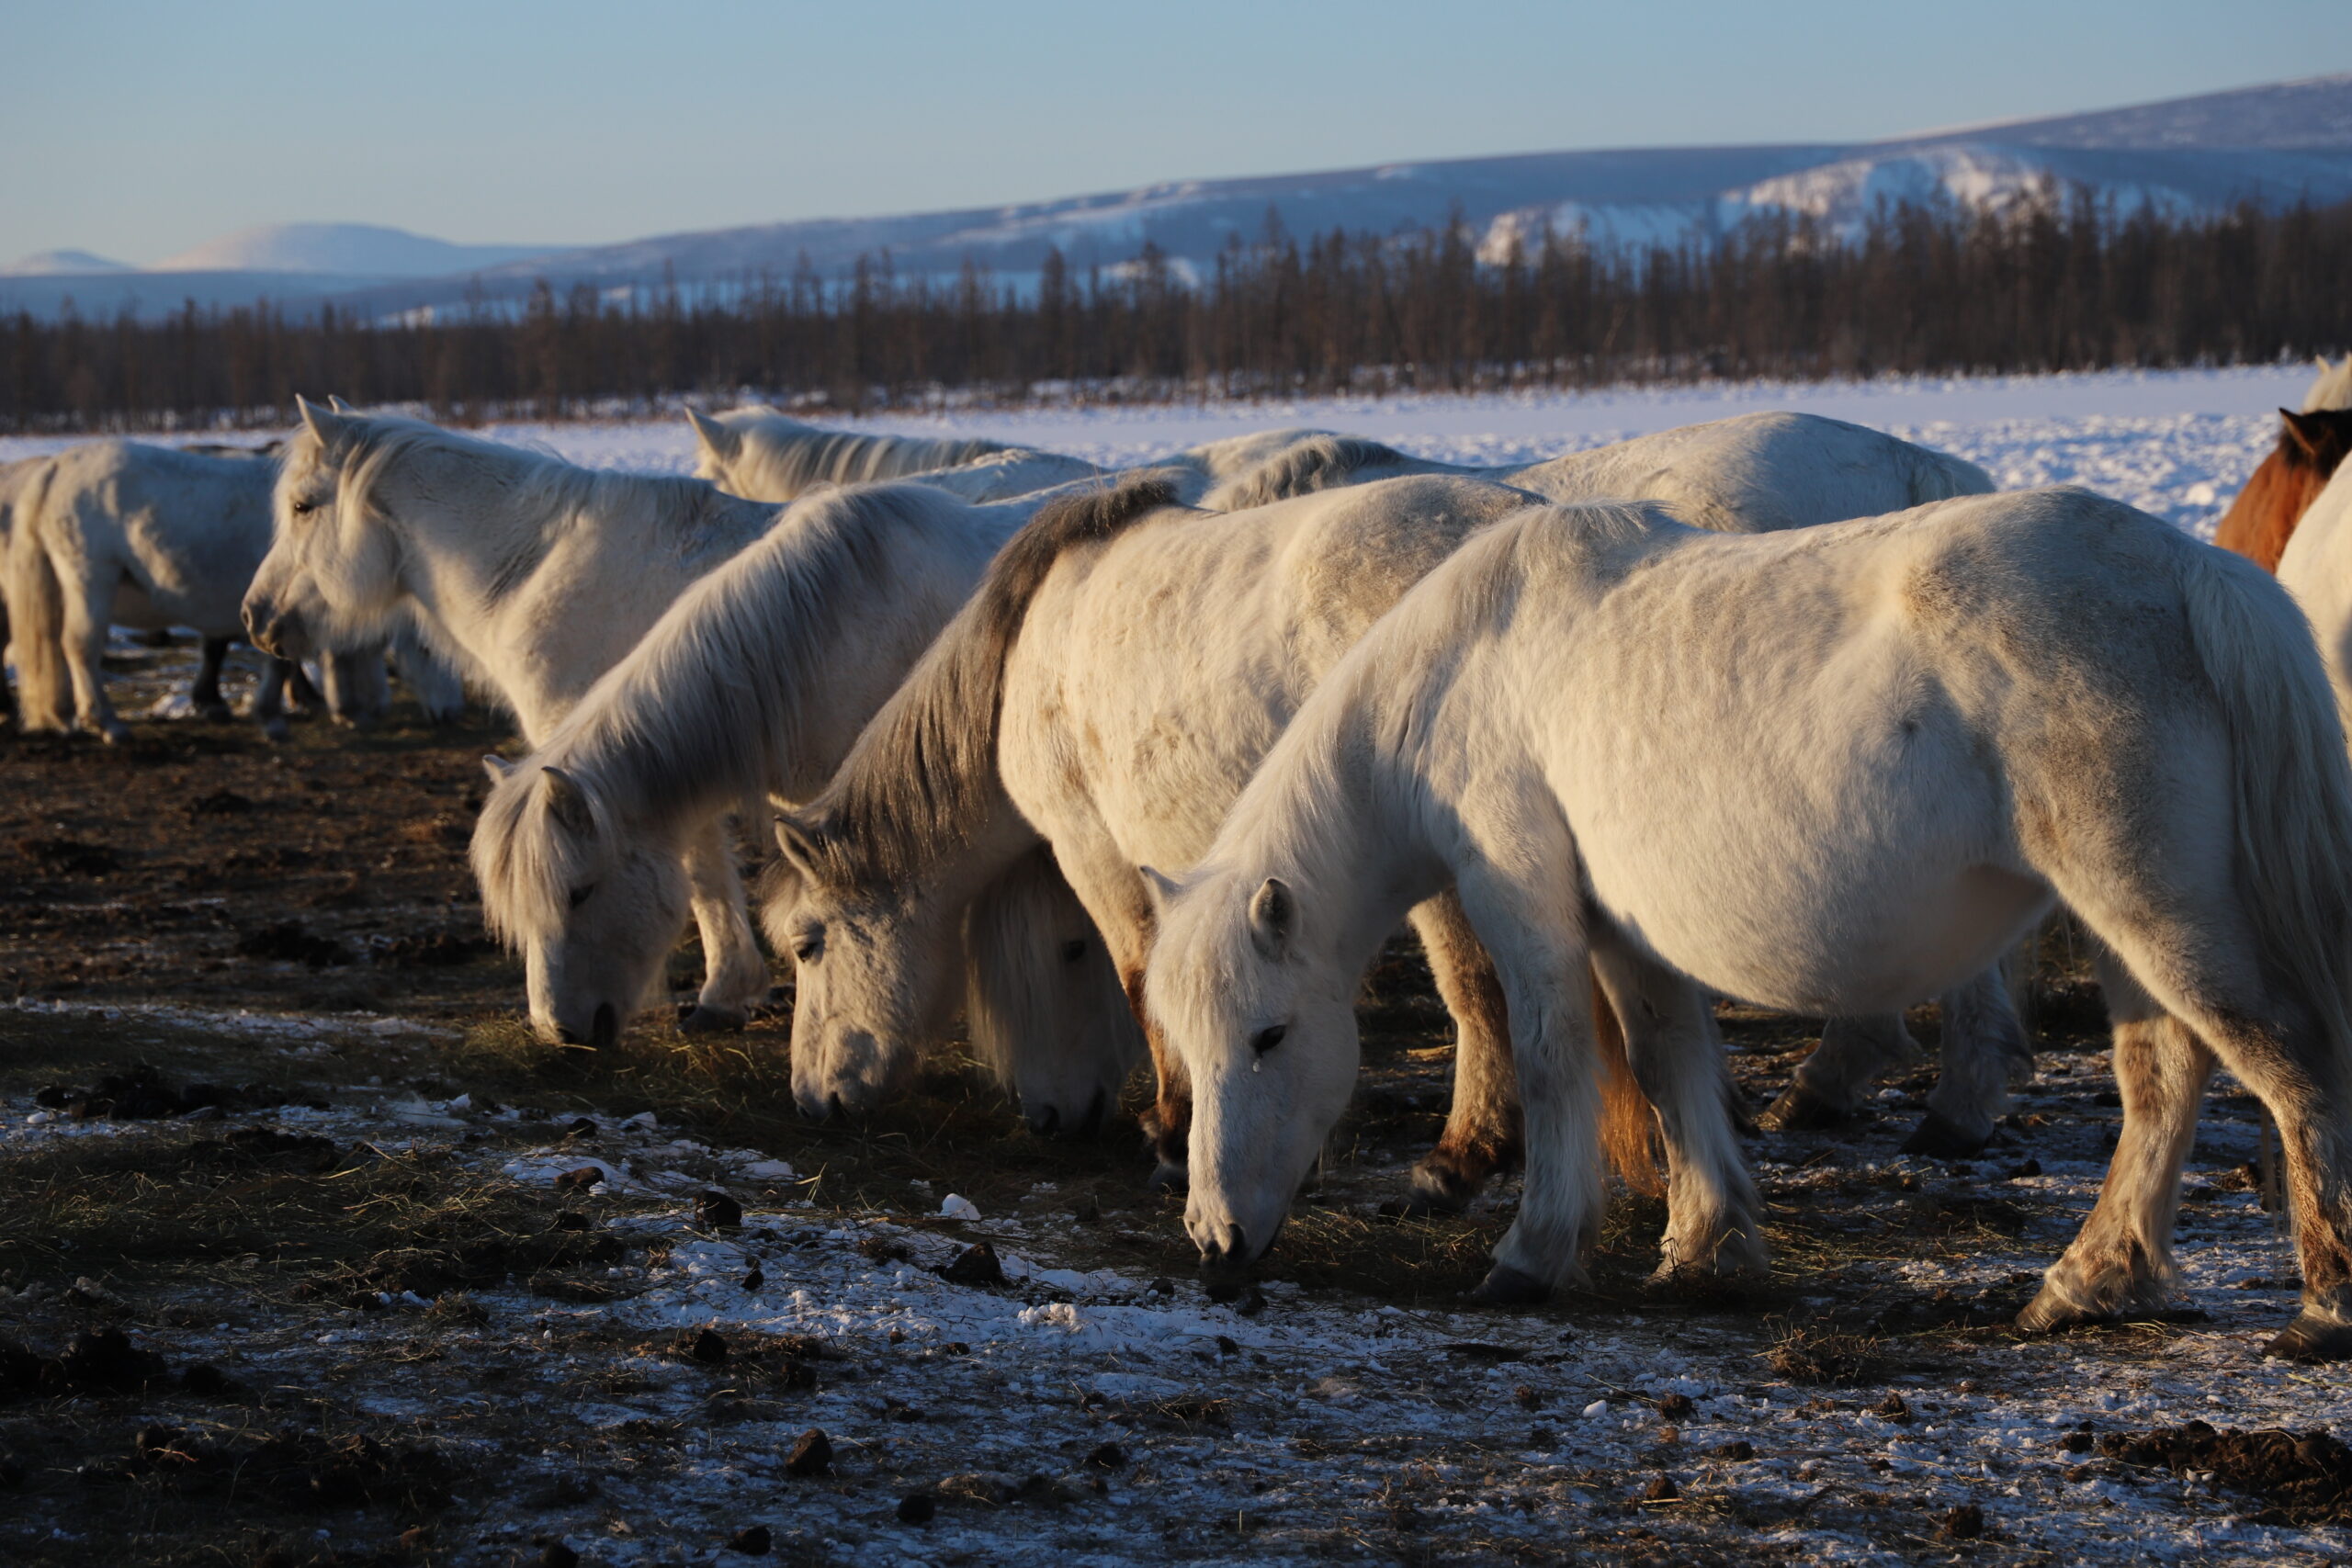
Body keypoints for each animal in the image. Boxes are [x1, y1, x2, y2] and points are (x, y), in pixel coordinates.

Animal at [1143, 491, 2352, 1363]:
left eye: (1267, 1036)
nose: (1213, 1243)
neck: (1460, 669)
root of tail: (2193, 576)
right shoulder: (1625, 930)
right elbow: (1667, 1060)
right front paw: (1701, 1239)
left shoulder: (1521, 901)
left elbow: (1552, 1061)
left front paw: (1532, 1253)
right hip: (2128, 927)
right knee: (2161, 1079)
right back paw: (2090, 1282)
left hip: (2151, 908)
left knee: (2290, 1066)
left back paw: (2321, 1308)